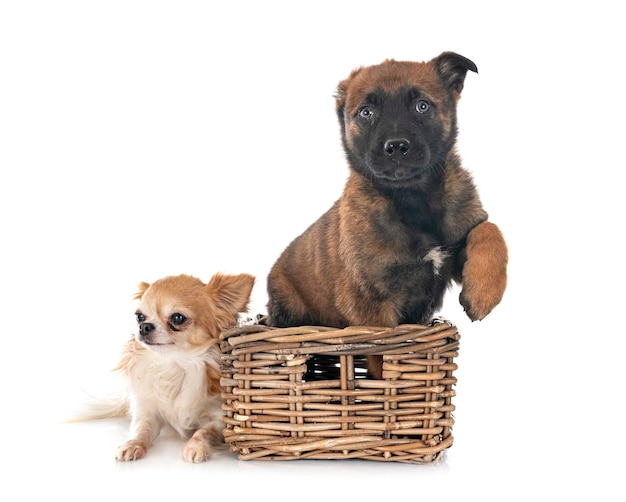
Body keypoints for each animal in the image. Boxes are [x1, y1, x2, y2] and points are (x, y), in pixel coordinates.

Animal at [266, 54, 504, 376]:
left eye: (422, 106)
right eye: (366, 113)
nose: (396, 146)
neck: (413, 198)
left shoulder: (457, 244)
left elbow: (490, 229)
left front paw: (483, 296)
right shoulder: (371, 305)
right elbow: (380, 357)